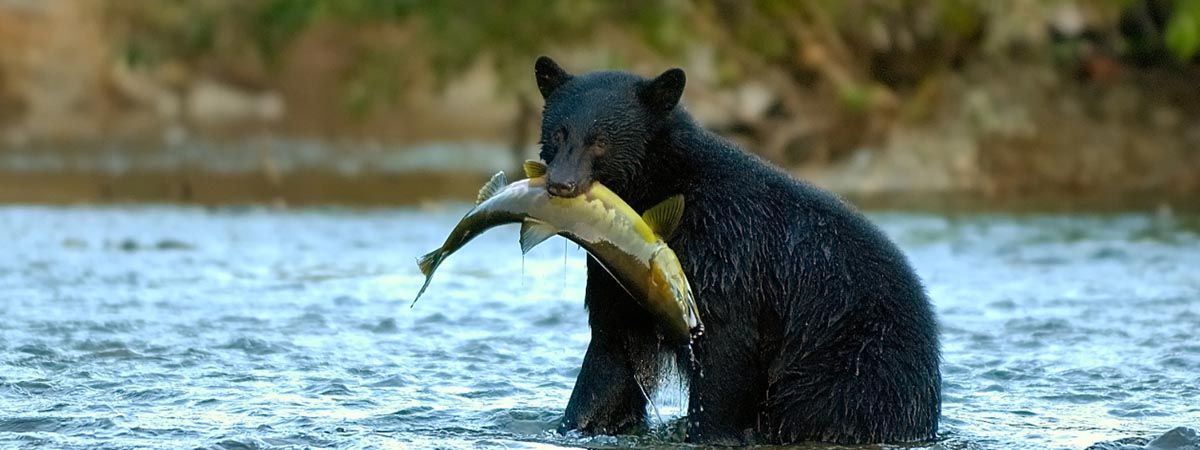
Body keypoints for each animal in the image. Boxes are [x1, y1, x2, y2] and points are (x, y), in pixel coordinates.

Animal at [532, 56, 941, 445]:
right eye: (558, 133)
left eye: (601, 140)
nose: (561, 183)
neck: (662, 190)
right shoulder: (617, 267)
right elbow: (612, 354)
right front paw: (579, 425)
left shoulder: (726, 251)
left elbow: (725, 351)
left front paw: (708, 433)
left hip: (852, 366)